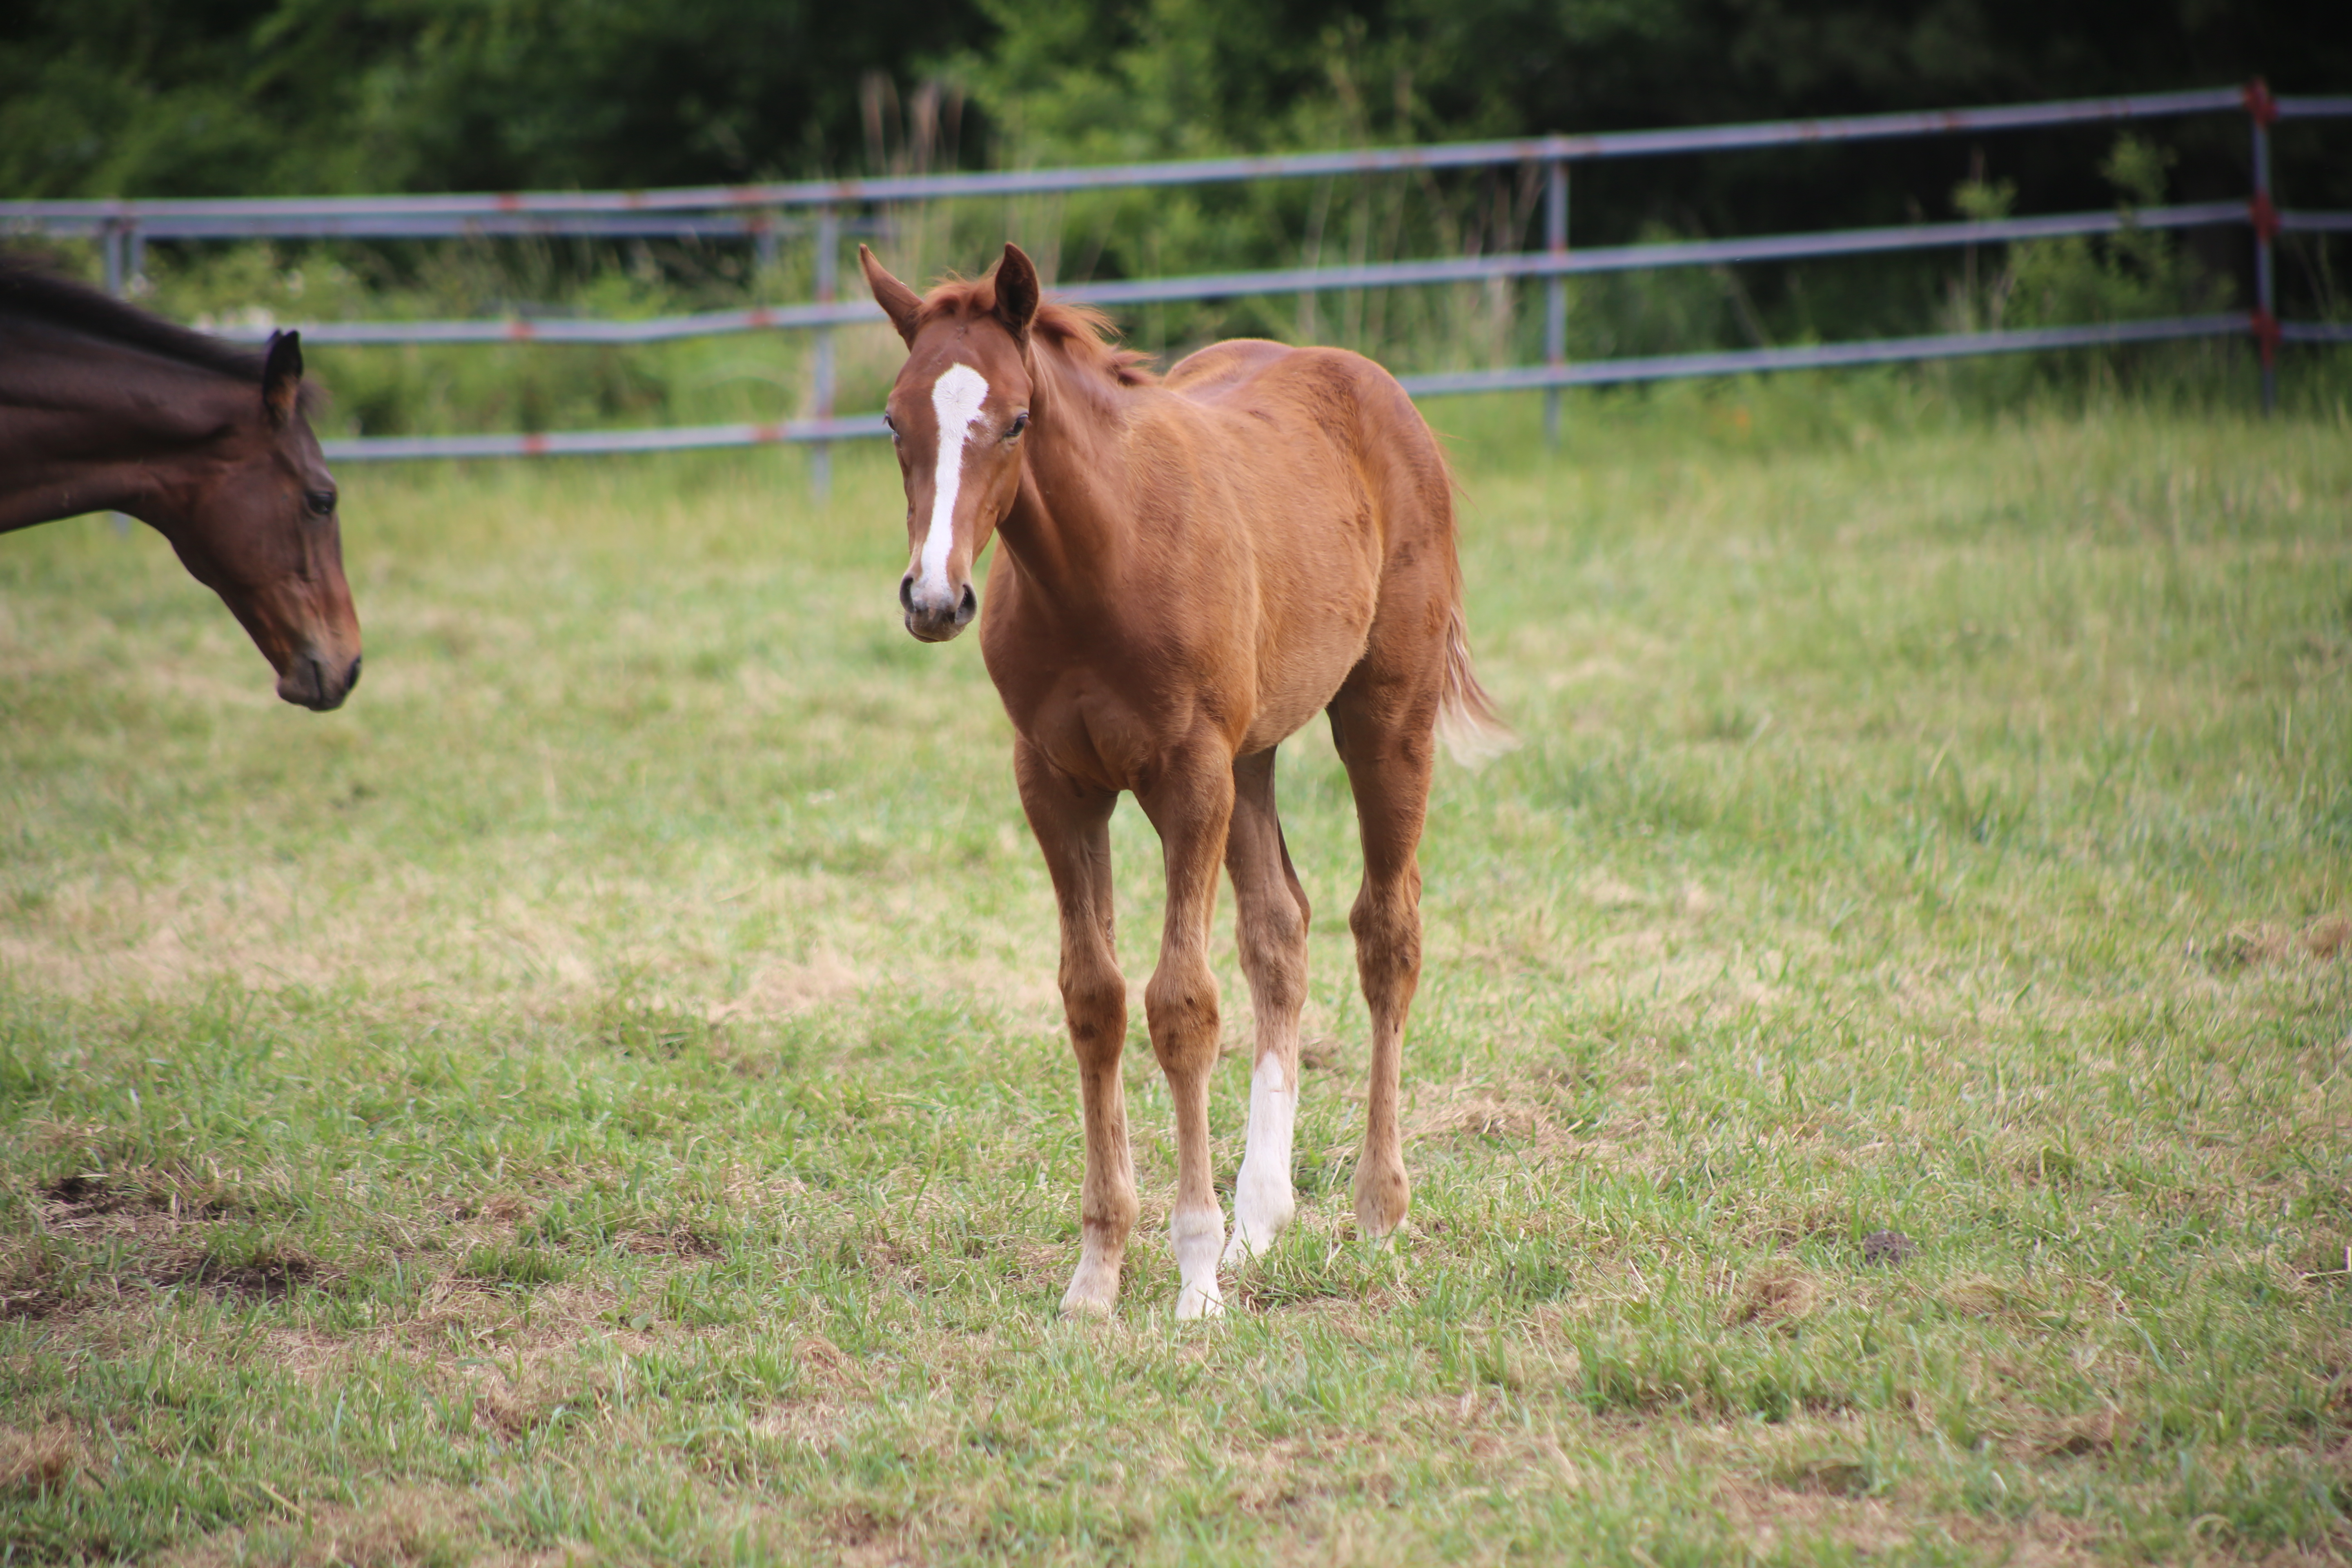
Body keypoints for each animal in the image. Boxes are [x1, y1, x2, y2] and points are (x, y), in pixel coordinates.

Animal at [865, 242, 1505, 1326]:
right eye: (894, 420)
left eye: (1016, 419)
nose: (934, 599)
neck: (1098, 569)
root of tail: (1371, 385)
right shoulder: (1056, 785)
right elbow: (1095, 999)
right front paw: (1096, 1276)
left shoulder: (1189, 778)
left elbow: (1182, 1006)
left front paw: (1195, 1274)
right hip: (1254, 752)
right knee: (1280, 932)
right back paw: (1263, 1218)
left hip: (1385, 715)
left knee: (1386, 932)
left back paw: (1376, 1208)